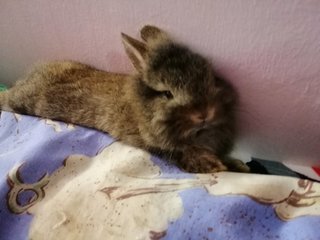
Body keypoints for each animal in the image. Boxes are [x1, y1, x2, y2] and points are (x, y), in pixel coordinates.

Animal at [0, 25, 249, 173]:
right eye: (167, 93)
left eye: (210, 77)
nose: (203, 113)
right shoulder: (154, 145)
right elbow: (180, 153)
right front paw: (213, 165)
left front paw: (238, 165)